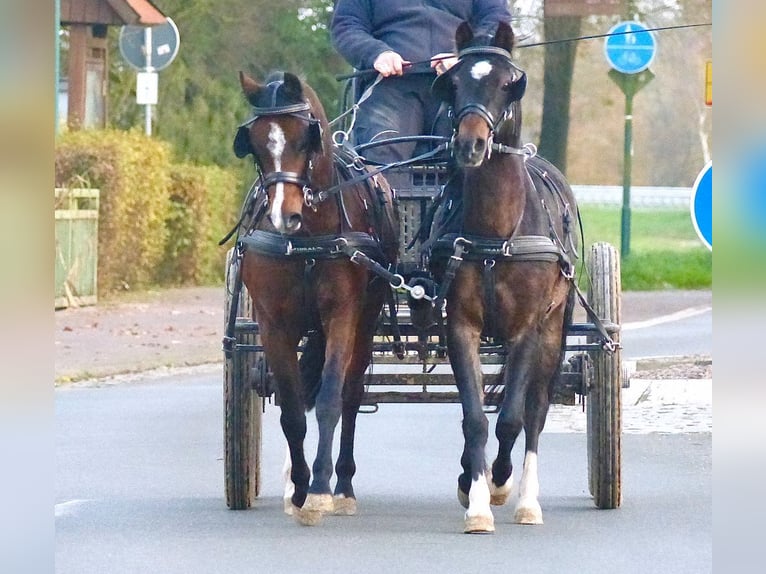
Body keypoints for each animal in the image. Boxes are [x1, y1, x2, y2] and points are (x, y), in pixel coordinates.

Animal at [234, 71, 402, 528]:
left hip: (366, 319)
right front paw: (300, 490)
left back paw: (343, 485)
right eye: (256, 143)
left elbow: (329, 400)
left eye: (303, 139)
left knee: (351, 394)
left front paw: (322, 489)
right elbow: (292, 410)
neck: (308, 239)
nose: (282, 216)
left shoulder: (342, 314)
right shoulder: (274, 324)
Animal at [428, 22, 580, 536]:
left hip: (554, 332)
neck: (497, 234)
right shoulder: (460, 326)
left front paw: (498, 483)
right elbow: (474, 417)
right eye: (453, 83)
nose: (470, 146)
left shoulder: (527, 331)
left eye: (509, 83)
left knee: (535, 412)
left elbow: (512, 418)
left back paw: (527, 498)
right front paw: (475, 500)